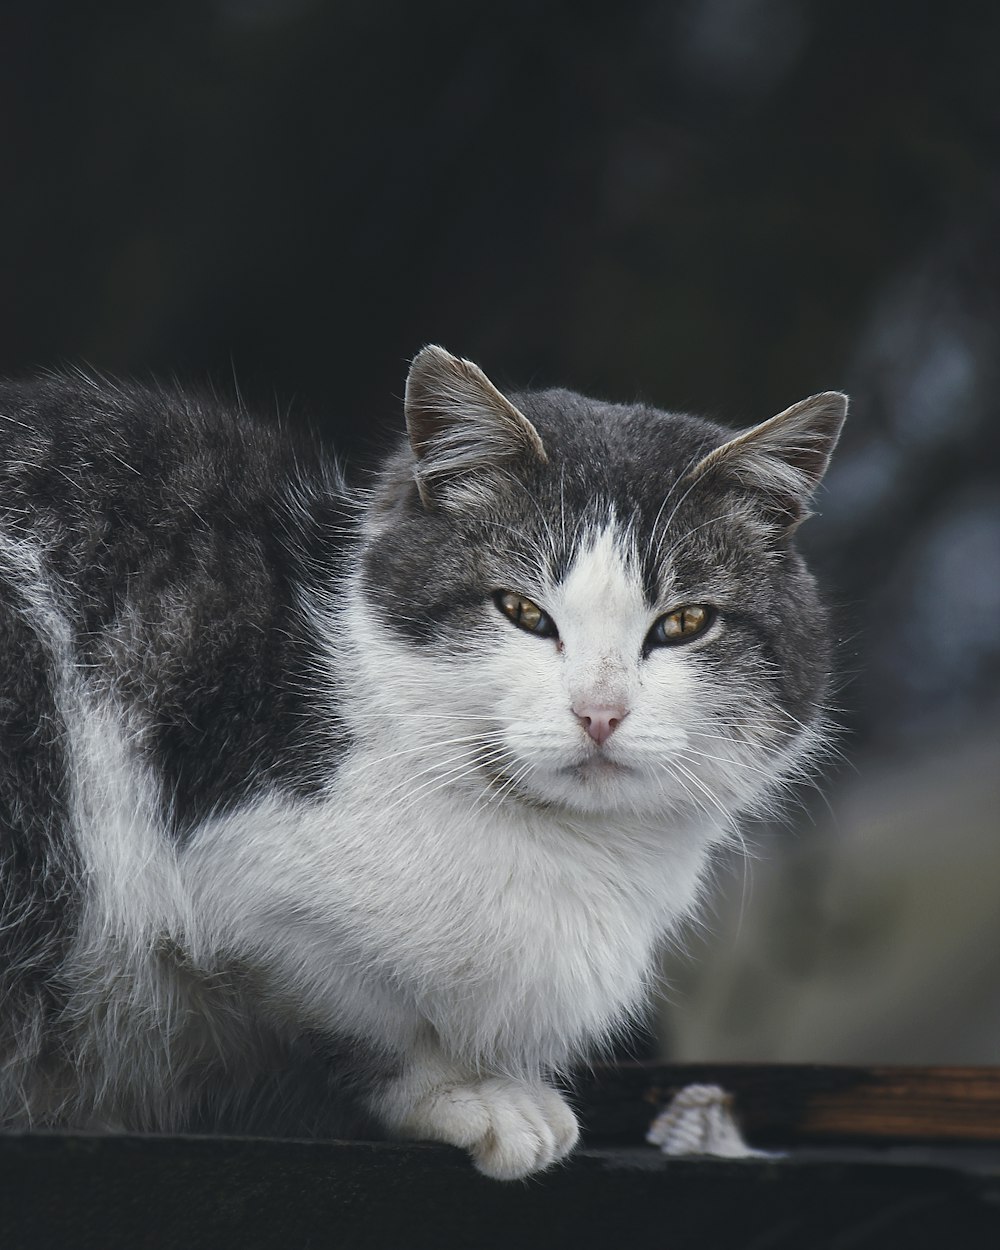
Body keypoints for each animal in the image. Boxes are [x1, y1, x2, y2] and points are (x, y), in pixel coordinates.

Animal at [0, 347, 845, 1175]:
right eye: (523, 612)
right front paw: (470, 1093)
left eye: (684, 623)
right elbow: (361, 1015)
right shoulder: (248, 889)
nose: (599, 713)